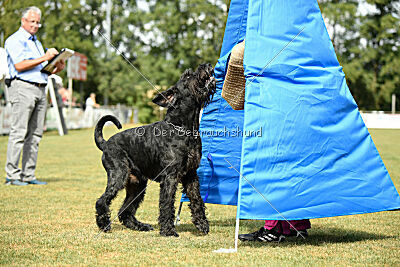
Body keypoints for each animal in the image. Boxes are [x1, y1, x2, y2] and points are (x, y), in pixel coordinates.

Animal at [94, 62, 216, 237]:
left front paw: (202, 225)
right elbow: (167, 203)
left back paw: (141, 226)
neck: (183, 128)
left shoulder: (191, 175)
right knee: (102, 201)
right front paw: (168, 230)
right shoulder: (170, 176)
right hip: (118, 176)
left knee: (125, 210)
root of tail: (106, 143)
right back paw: (104, 225)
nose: (206, 65)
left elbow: (197, 200)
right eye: (187, 76)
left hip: (137, 185)